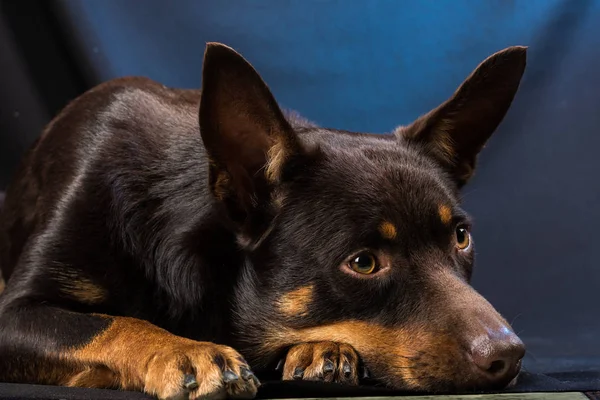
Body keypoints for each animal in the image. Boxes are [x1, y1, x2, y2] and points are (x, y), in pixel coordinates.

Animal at [0, 42, 524, 398]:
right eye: (363, 263)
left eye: (460, 237)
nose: (509, 355)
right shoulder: (13, 313)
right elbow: (110, 323)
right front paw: (182, 350)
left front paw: (322, 348)